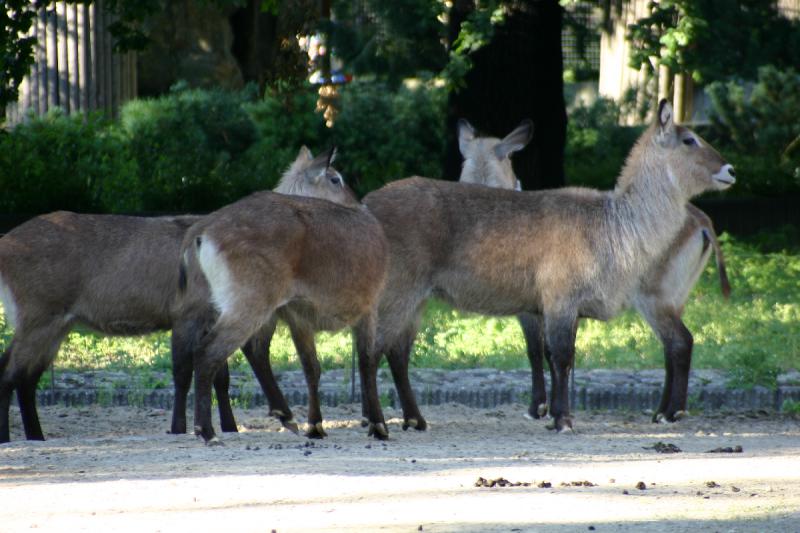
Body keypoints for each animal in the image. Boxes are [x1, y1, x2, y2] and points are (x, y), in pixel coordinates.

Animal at [0, 145, 354, 440]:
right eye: (335, 178)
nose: (357, 205)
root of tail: (6, 242)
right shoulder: (186, 314)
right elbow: (184, 372)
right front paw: (180, 428)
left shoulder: (211, 318)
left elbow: (219, 376)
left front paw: (227, 426)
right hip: (38, 318)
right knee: (10, 372)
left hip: (57, 325)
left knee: (26, 378)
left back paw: (36, 435)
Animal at [177, 177, 390, 442]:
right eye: (336, 179)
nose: (358, 201)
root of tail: (202, 229)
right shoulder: (369, 308)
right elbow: (367, 362)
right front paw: (378, 425)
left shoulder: (298, 317)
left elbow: (311, 367)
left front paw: (315, 426)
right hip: (250, 304)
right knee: (208, 352)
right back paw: (207, 431)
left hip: (229, 306)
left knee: (239, 350)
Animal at [360, 101, 736, 436]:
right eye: (690, 139)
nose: (730, 170)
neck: (613, 224)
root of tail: (366, 205)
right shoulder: (558, 300)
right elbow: (560, 357)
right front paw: (563, 420)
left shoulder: (566, 308)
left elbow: (560, 358)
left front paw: (554, 415)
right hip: (399, 291)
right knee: (371, 350)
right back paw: (378, 424)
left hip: (417, 298)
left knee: (395, 351)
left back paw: (414, 420)